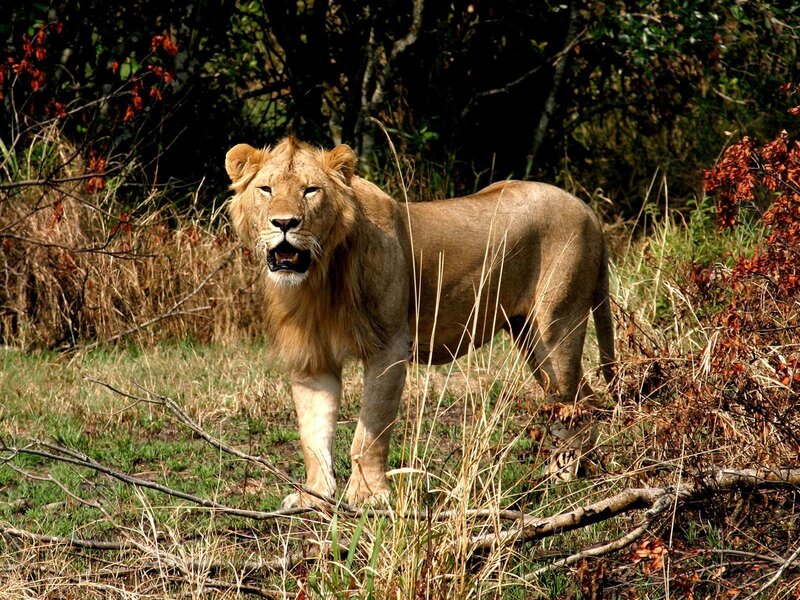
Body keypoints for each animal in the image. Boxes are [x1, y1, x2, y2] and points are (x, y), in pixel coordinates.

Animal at [225, 137, 615, 507]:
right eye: (266, 189)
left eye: (310, 190)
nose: (284, 223)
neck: (317, 279)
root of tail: (588, 210)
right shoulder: (312, 359)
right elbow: (312, 434)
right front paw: (314, 495)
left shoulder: (390, 346)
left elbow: (371, 429)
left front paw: (368, 495)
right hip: (529, 336)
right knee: (581, 396)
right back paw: (571, 469)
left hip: (557, 325)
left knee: (576, 399)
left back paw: (566, 472)